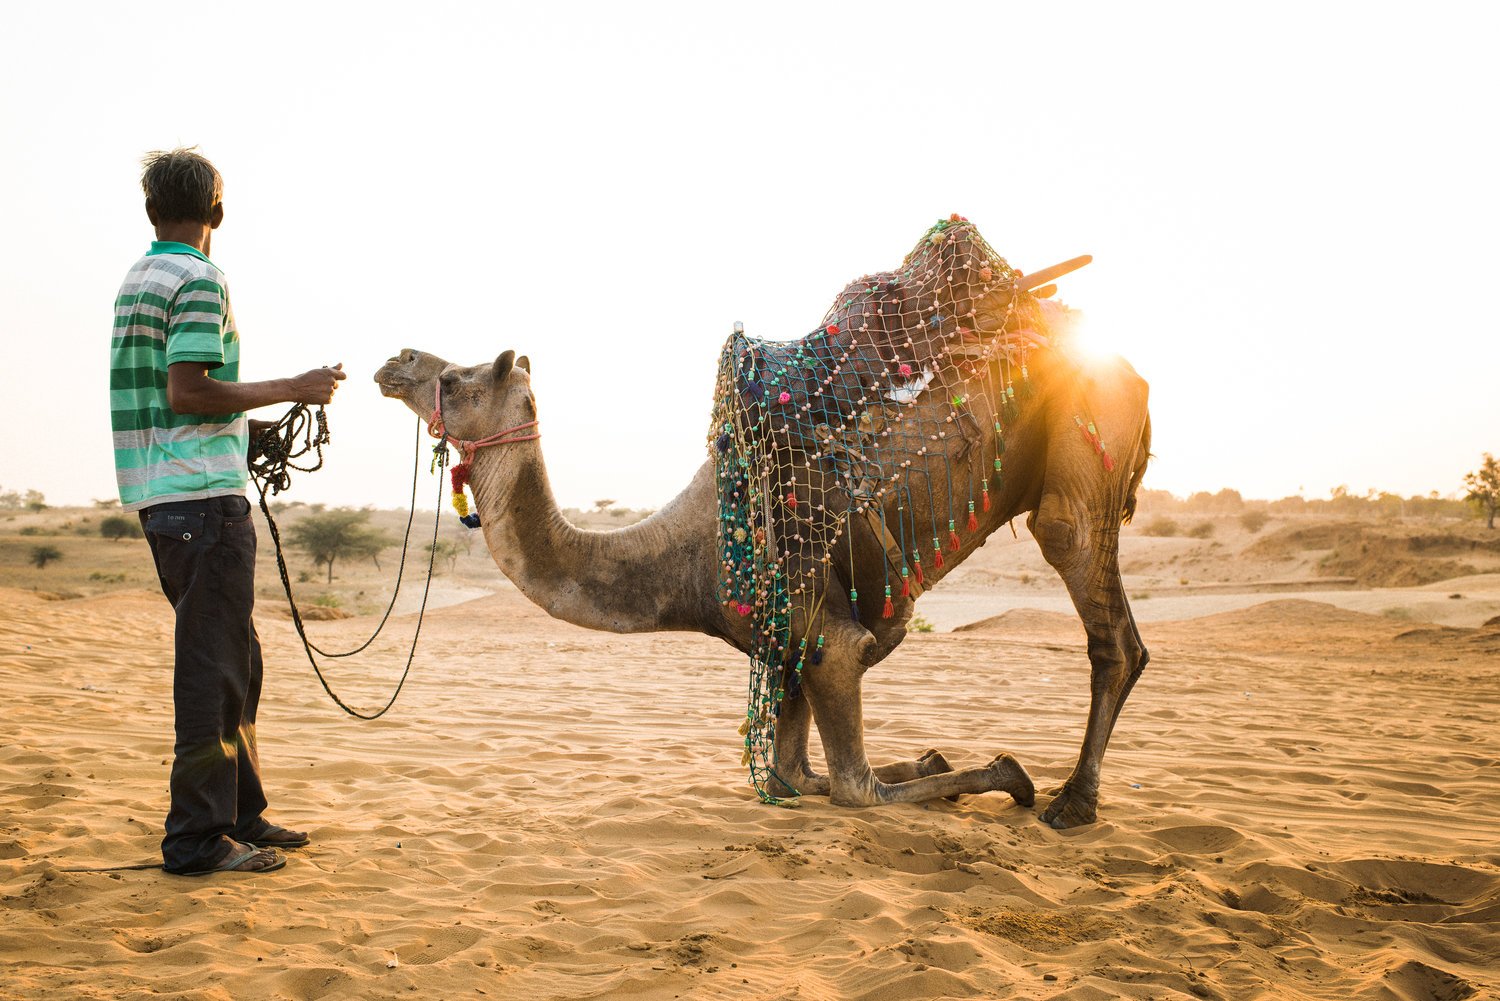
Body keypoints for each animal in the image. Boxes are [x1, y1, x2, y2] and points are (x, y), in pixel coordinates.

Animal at [372, 223, 1146, 834]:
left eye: (461, 378)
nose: (396, 359)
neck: (683, 558)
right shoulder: (787, 650)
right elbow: (796, 775)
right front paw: (933, 755)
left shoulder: (829, 643)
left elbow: (855, 791)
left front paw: (1006, 769)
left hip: (1091, 419)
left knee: (1084, 569)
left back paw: (1072, 801)